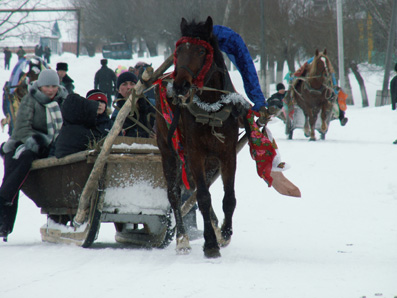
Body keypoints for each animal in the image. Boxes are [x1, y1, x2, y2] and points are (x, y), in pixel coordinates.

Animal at [155, 16, 248, 258]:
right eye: (178, 50)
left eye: (201, 51)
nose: (180, 85)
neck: (211, 108)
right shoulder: (195, 153)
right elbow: (203, 197)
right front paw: (210, 244)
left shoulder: (227, 154)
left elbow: (228, 197)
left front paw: (224, 233)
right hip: (169, 150)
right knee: (175, 193)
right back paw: (182, 239)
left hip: (208, 160)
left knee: (196, 189)